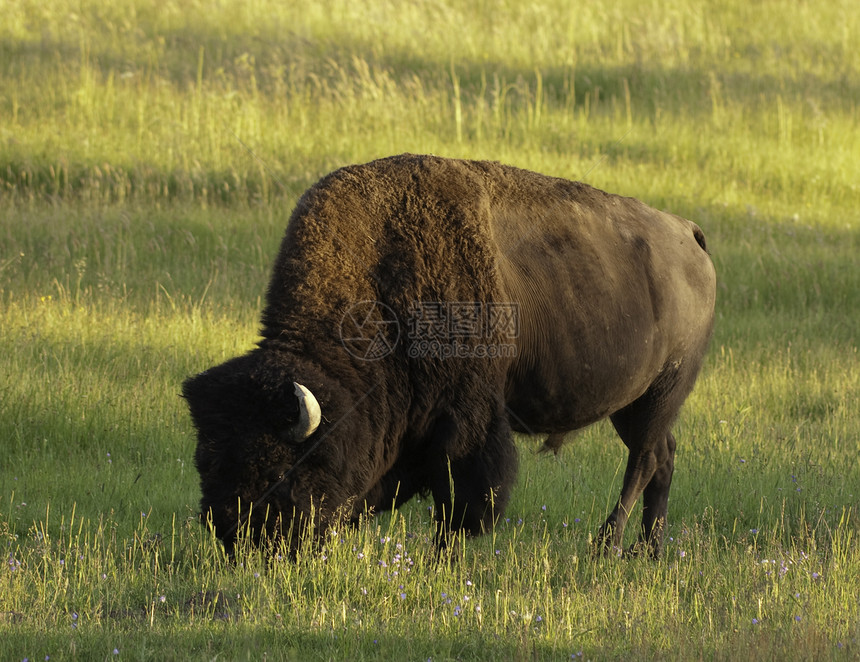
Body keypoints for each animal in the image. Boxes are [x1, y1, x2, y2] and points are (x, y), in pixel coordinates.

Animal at [185, 156, 716, 560]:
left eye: (278, 470)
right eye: (205, 462)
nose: (236, 539)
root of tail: (688, 233)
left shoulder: (466, 421)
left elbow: (462, 496)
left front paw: (444, 555)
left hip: (660, 392)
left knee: (645, 459)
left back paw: (607, 545)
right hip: (633, 404)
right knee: (663, 456)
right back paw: (649, 550)